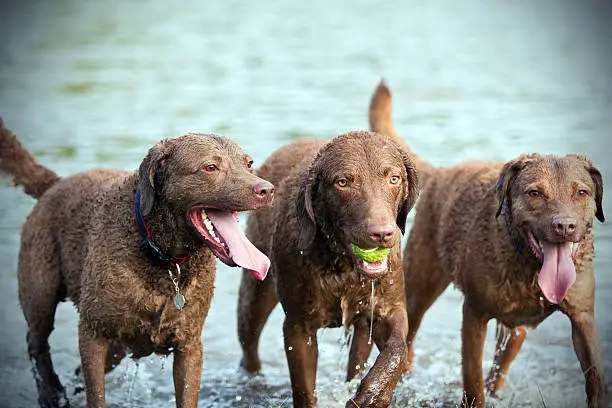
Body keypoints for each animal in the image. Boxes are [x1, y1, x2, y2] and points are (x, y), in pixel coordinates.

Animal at [0, 118, 274, 408]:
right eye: (210, 167)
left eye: (249, 164)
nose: (267, 189)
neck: (162, 258)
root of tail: (55, 183)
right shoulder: (92, 333)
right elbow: (96, 395)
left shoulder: (189, 345)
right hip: (40, 292)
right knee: (36, 341)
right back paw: (51, 392)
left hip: (117, 347)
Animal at [235, 132, 420, 406]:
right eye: (342, 182)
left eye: (394, 178)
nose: (381, 234)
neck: (343, 267)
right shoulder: (298, 328)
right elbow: (303, 389)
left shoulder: (389, 308)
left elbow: (397, 349)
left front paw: (374, 393)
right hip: (255, 294)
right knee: (249, 346)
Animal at [368, 80, 608, 408]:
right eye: (535, 193)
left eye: (582, 192)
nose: (564, 226)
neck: (528, 266)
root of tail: (442, 173)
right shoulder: (474, 314)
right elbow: (473, 382)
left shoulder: (583, 316)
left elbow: (595, 374)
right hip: (419, 285)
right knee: (410, 332)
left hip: (515, 329)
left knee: (505, 356)